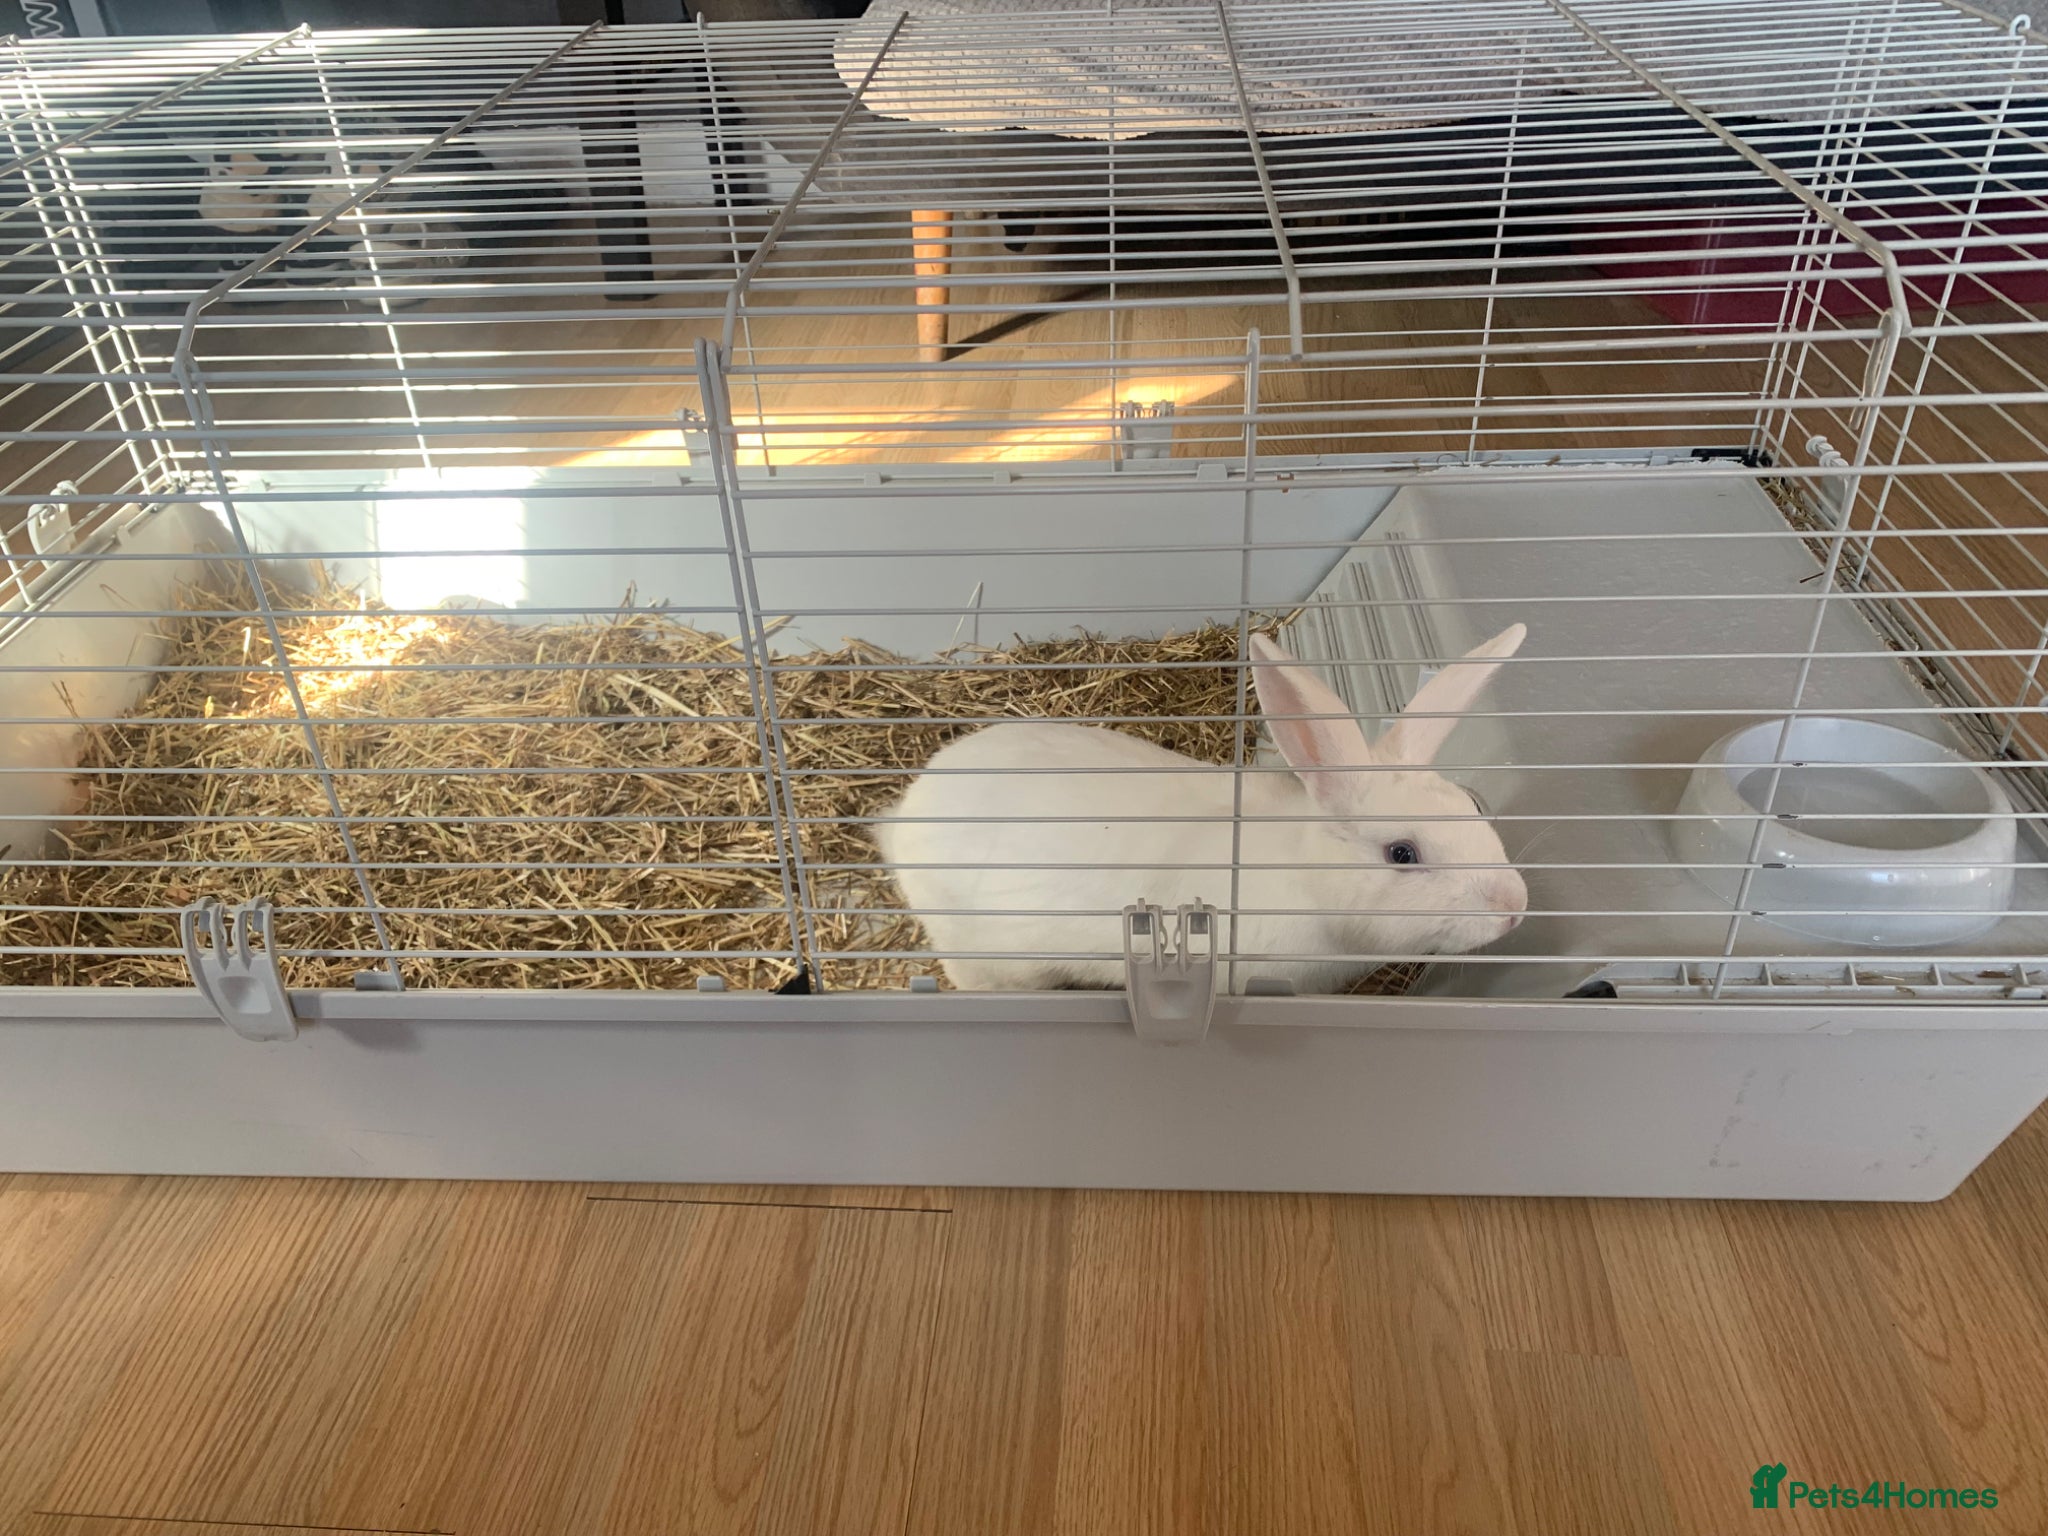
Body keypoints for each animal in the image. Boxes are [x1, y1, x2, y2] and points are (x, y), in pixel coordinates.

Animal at [877, 624, 1530, 993]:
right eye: (1402, 853)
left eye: (1473, 804)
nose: (1516, 909)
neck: (1304, 874)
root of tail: (905, 815)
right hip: (990, 955)